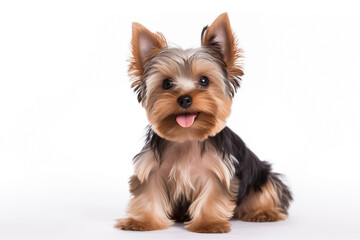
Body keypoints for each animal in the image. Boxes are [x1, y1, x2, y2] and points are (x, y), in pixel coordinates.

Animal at [115, 12, 292, 232]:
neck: (187, 137)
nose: (184, 99)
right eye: (166, 83)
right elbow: (148, 193)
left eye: (204, 81)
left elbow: (212, 196)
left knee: (267, 189)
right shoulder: (151, 168)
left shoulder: (218, 171)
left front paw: (209, 223)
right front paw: (142, 221)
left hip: (262, 175)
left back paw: (264, 213)